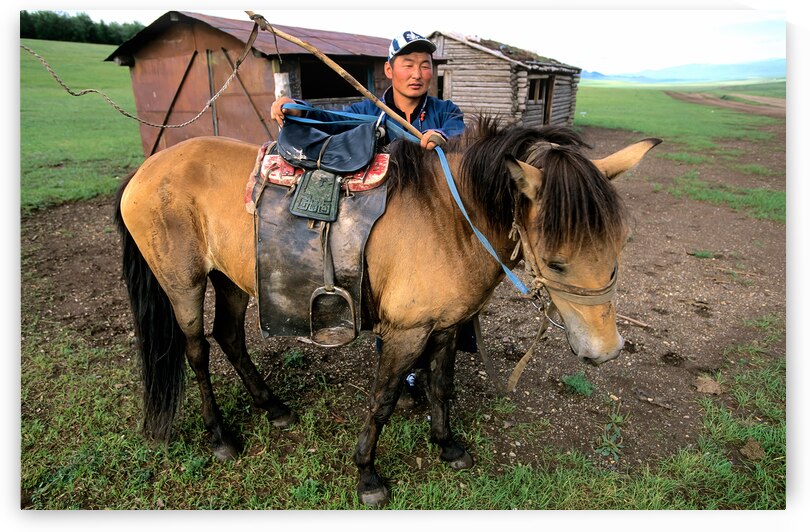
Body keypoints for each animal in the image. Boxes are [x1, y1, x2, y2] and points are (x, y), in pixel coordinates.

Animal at [114, 117, 659, 506]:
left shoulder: (445, 326)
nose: (605, 351)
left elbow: (440, 387)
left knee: (230, 336)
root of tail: (149, 166)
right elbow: (382, 400)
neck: (450, 219)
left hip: (229, 279)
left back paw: (273, 408)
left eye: (620, 246)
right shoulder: (406, 332)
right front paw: (368, 476)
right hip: (183, 285)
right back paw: (221, 436)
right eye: (556, 259)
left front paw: (447, 445)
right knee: (197, 351)